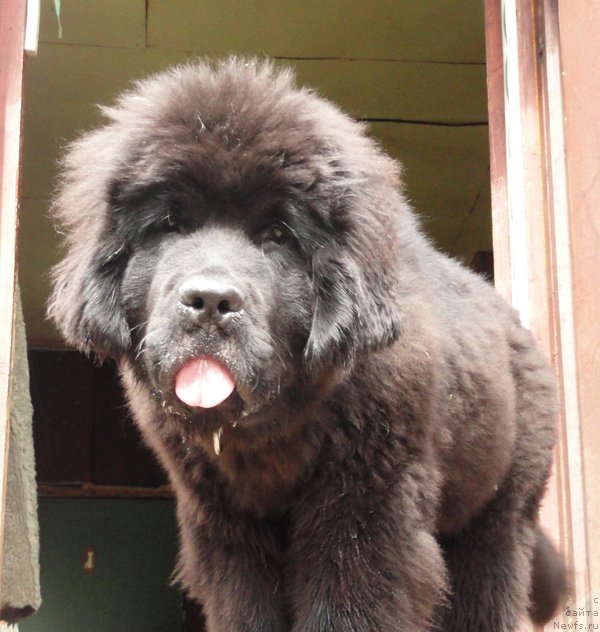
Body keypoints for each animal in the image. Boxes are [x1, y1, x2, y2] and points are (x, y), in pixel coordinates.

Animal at [48, 58, 568, 628]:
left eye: (277, 235)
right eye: (170, 223)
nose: (210, 300)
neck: (270, 432)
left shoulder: (365, 512)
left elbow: (347, 605)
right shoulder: (227, 524)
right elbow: (247, 607)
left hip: (498, 512)